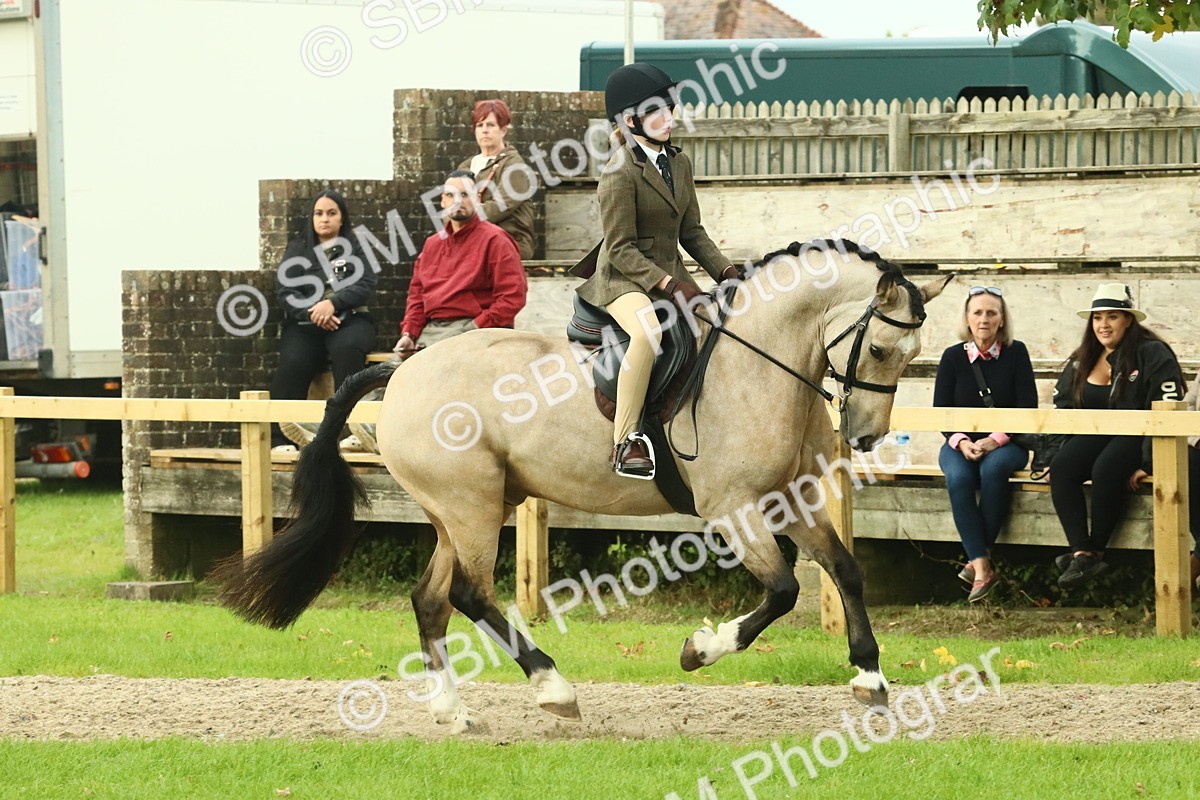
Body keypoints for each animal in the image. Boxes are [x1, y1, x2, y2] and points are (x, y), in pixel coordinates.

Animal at [216, 239, 951, 730]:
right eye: (880, 350)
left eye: (912, 355)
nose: (864, 436)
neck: (758, 361)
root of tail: (400, 371)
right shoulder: (735, 509)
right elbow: (782, 591)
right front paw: (699, 649)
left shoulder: (788, 500)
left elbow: (847, 571)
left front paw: (871, 677)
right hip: (471, 506)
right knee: (468, 595)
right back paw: (553, 689)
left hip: (463, 510)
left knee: (431, 600)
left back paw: (454, 712)